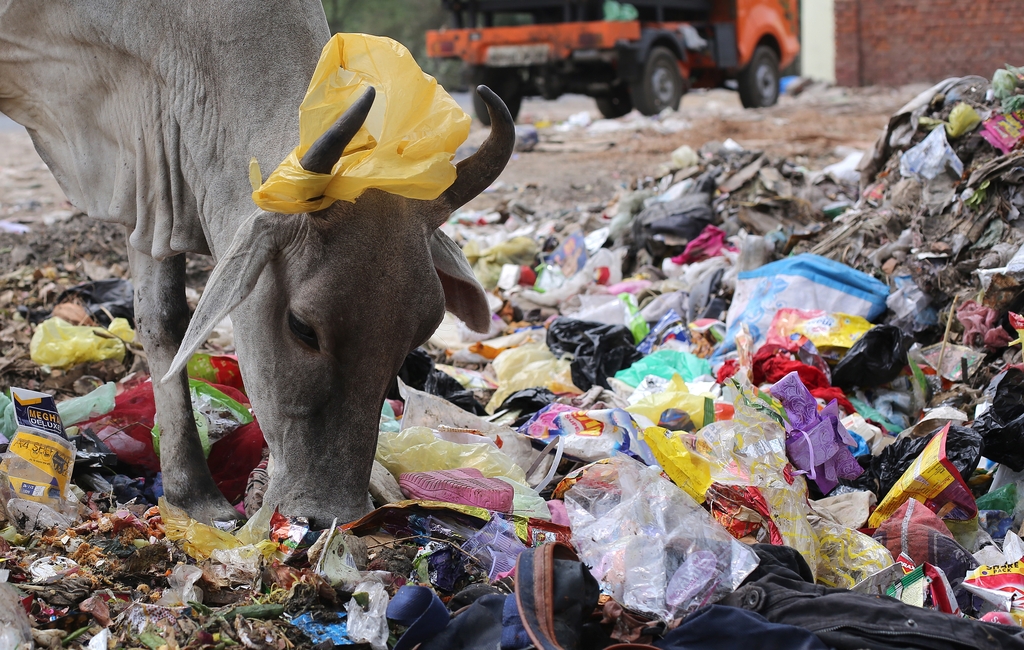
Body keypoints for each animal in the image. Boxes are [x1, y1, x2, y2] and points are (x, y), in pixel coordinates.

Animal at [0, 1, 512, 528]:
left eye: (421, 333)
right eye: (302, 327)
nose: (329, 516)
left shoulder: (151, 167)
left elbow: (162, 321)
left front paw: (188, 494)